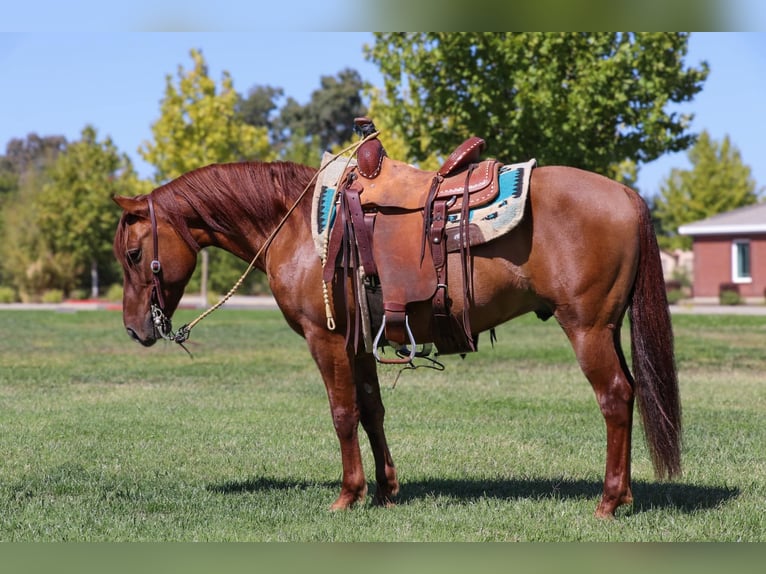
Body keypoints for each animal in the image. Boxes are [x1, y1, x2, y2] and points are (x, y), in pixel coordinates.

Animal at [114, 159, 684, 520]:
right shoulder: (358, 343)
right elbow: (371, 410)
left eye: (135, 254)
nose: (135, 329)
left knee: (615, 398)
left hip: (587, 329)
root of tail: (628, 195)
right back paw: (625, 496)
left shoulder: (326, 339)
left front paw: (348, 495)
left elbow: (342, 413)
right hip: (607, 329)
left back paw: (608, 502)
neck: (295, 224)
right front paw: (386, 491)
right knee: (630, 393)